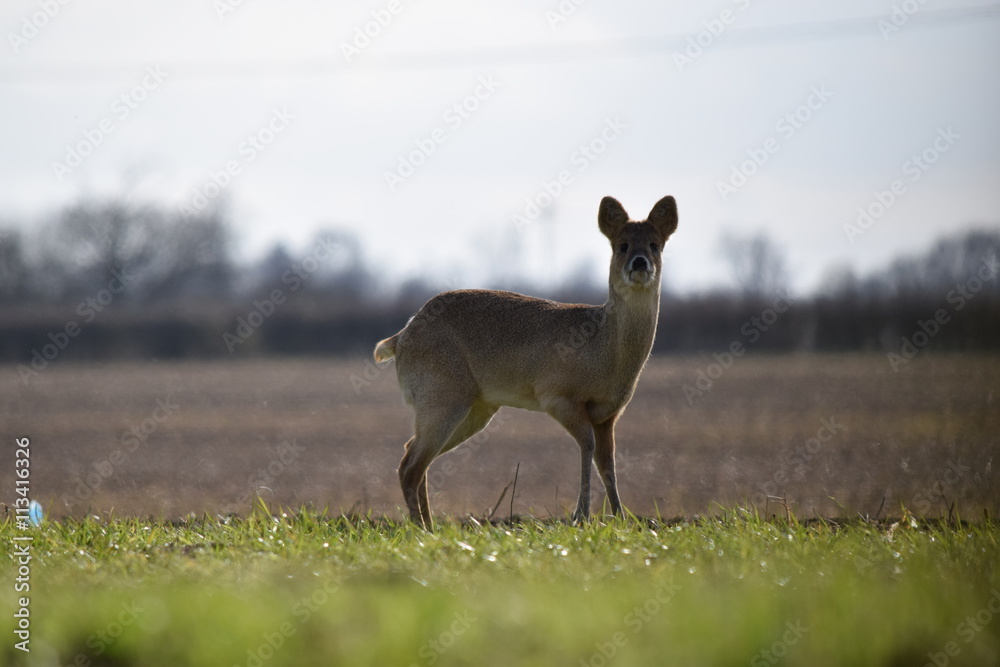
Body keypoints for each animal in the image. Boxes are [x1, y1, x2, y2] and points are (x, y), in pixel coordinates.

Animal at [374, 195, 678, 528]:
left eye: (655, 245)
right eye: (622, 245)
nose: (640, 262)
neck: (604, 348)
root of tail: (400, 337)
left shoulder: (609, 413)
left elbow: (608, 464)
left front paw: (621, 519)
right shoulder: (557, 396)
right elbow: (587, 446)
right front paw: (581, 515)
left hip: (473, 408)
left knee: (414, 457)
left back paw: (430, 525)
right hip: (441, 396)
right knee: (410, 466)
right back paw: (423, 529)